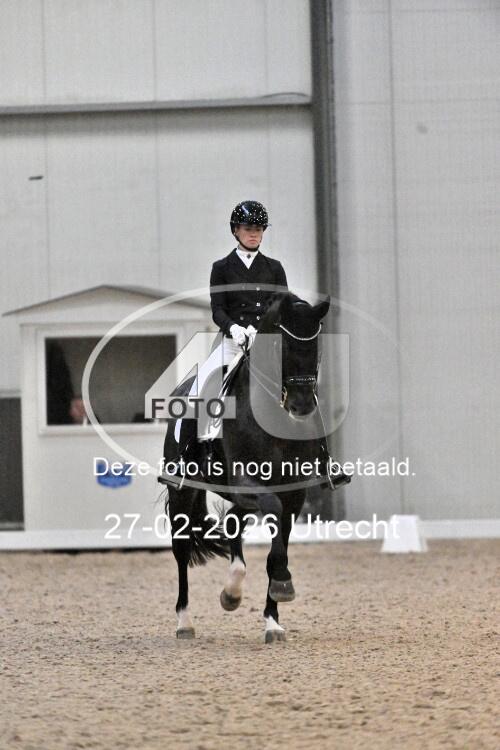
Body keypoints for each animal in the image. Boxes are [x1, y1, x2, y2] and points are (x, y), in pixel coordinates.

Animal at [160, 291, 342, 643]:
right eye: (282, 346)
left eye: (317, 348)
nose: (301, 406)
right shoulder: (248, 481)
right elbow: (271, 518)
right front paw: (280, 587)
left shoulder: (293, 494)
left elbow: (276, 550)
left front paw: (273, 619)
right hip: (183, 494)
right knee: (182, 548)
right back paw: (184, 621)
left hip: (239, 499)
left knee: (233, 521)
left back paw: (231, 593)